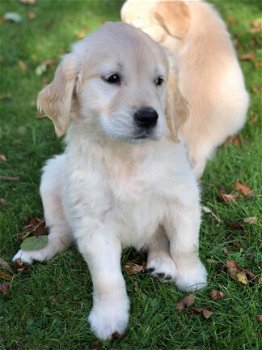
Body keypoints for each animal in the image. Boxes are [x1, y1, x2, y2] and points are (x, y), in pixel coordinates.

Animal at [13, 21, 208, 340]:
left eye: (159, 81)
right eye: (112, 78)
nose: (149, 117)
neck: (126, 154)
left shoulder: (183, 199)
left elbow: (184, 245)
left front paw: (192, 277)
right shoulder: (94, 223)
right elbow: (107, 278)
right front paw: (109, 318)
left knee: (157, 239)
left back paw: (162, 263)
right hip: (52, 176)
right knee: (60, 234)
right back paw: (37, 251)